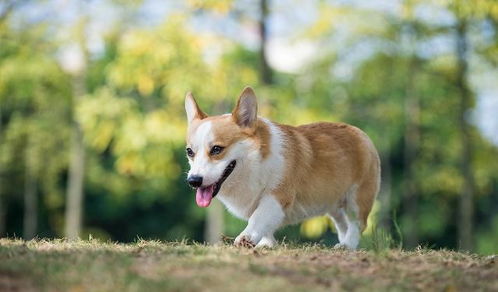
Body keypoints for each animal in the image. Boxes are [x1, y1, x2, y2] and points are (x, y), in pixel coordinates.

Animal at [185, 86, 380, 249]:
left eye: (217, 149)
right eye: (189, 152)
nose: (193, 181)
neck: (253, 162)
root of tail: (359, 132)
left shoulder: (277, 196)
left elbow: (258, 218)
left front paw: (246, 238)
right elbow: (265, 225)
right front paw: (267, 244)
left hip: (357, 198)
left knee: (357, 224)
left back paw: (347, 245)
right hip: (334, 205)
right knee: (343, 225)